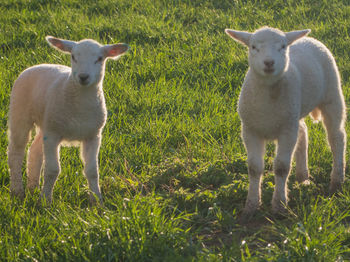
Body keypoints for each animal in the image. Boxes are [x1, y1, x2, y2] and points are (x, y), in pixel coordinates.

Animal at [7, 35, 130, 204]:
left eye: (99, 58)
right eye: (73, 56)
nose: (83, 77)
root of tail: (37, 65)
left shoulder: (93, 136)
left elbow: (92, 171)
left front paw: (97, 201)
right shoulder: (53, 135)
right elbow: (52, 170)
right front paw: (45, 201)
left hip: (47, 122)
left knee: (35, 150)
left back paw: (33, 187)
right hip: (20, 112)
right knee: (16, 152)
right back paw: (17, 190)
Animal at [226, 27, 346, 219]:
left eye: (282, 47)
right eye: (253, 47)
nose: (269, 62)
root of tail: (308, 39)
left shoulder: (286, 131)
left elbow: (281, 167)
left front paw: (279, 205)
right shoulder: (250, 130)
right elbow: (254, 167)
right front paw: (251, 205)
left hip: (332, 96)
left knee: (336, 138)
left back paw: (336, 181)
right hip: (294, 113)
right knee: (303, 132)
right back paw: (303, 177)